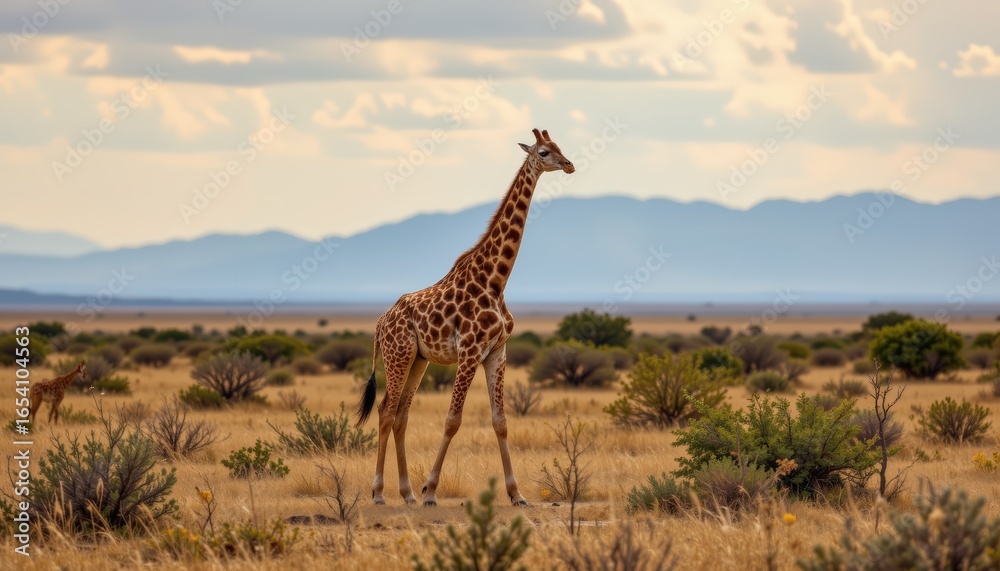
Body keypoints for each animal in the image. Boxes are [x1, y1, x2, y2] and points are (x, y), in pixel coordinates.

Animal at [356, 128, 575, 507]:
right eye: (544, 152)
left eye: (560, 146)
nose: (569, 164)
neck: (496, 280)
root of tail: (381, 322)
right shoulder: (470, 352)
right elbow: (452, 420)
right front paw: (431, 491)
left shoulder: (497, 352)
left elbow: (500, 421)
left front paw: (517, 494)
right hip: (398, 355)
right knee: (385, 411)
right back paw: (381, 493)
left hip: (418, 359)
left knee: (400, 415)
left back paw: (406, 493)